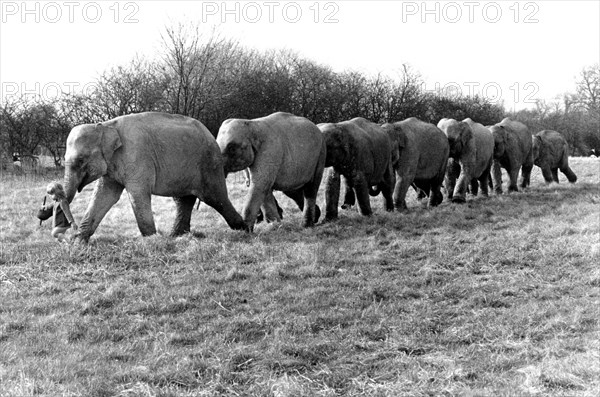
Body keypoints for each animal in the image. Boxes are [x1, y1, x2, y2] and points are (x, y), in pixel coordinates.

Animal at [63, 111, 246, 241]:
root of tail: (211, 134)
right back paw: (177, 236)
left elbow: (137, 194)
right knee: (184, 199)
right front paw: (78, 242)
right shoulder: (112, 165)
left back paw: (244, 229)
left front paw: (151, 240)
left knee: (215, 198)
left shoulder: (136, 157)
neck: (105, 126)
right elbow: (105, 196)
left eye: (80, 160)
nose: (71, 229)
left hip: (209, 164)